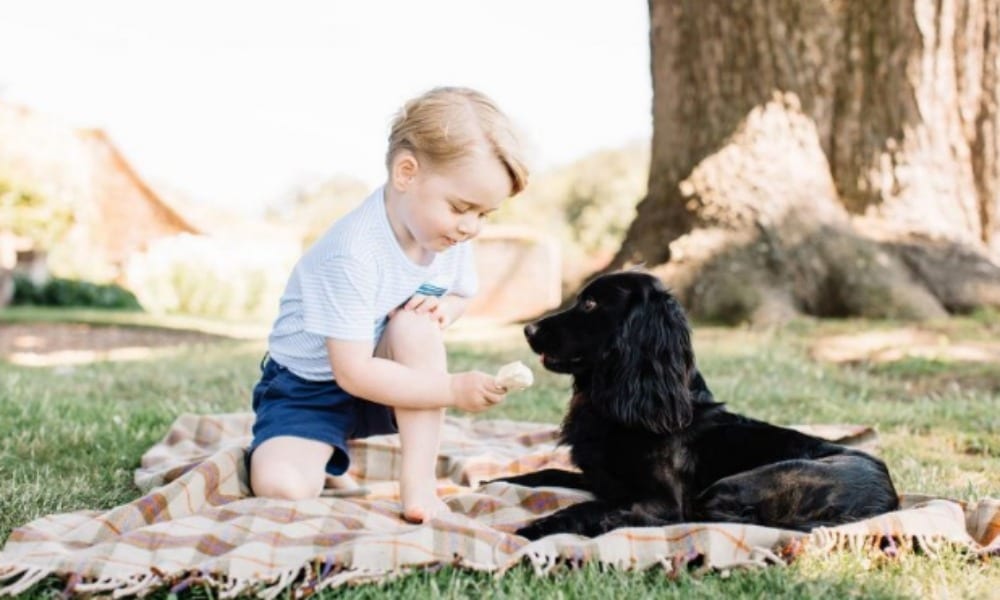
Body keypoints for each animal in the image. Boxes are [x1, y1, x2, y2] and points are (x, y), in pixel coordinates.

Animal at [500, 272, 900, 540]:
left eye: (590, 303)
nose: (528, 329)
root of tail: (888, 501)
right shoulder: (601, 478)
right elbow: (544, 473)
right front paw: (496, 481)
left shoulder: (661, 499)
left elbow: (591, 506)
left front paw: (538, 527)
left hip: (738, 484)